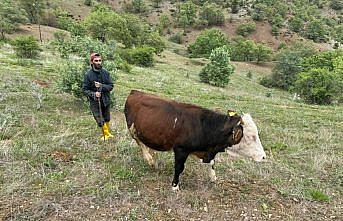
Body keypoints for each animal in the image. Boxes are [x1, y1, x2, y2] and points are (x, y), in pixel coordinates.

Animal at [123, 90, 266, 190]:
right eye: (251, 136)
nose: (264, 156)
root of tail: (135, 92)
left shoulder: (205, 151)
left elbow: (212, 163)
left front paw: (213, 178)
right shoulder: (181, 149)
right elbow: (179, 168)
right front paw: (175, 186)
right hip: (132, 129)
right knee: (140, 142)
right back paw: (150, 160)